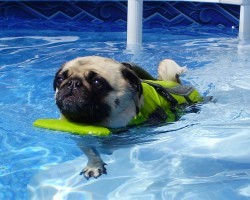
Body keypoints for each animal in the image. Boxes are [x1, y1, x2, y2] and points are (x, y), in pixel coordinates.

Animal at [53, 55, 188, 179]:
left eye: (97, 83)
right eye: (60, 79)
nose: (72, 83)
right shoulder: (82, 138)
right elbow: (90, 152)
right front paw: (94, 165)